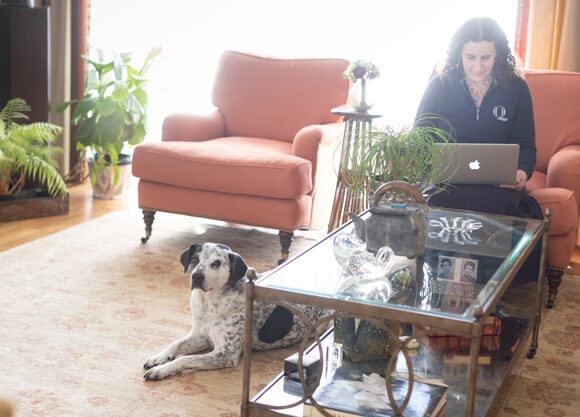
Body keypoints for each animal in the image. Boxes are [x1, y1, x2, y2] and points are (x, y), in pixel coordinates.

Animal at [143, 240, 328, 380]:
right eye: (195, 258)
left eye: (216, 263)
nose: (197, 276)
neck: (209, 304)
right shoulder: (201, 337)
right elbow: (175, 345)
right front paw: (158, 359)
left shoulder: (226, 353)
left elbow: (184, 359)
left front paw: (162, 370)